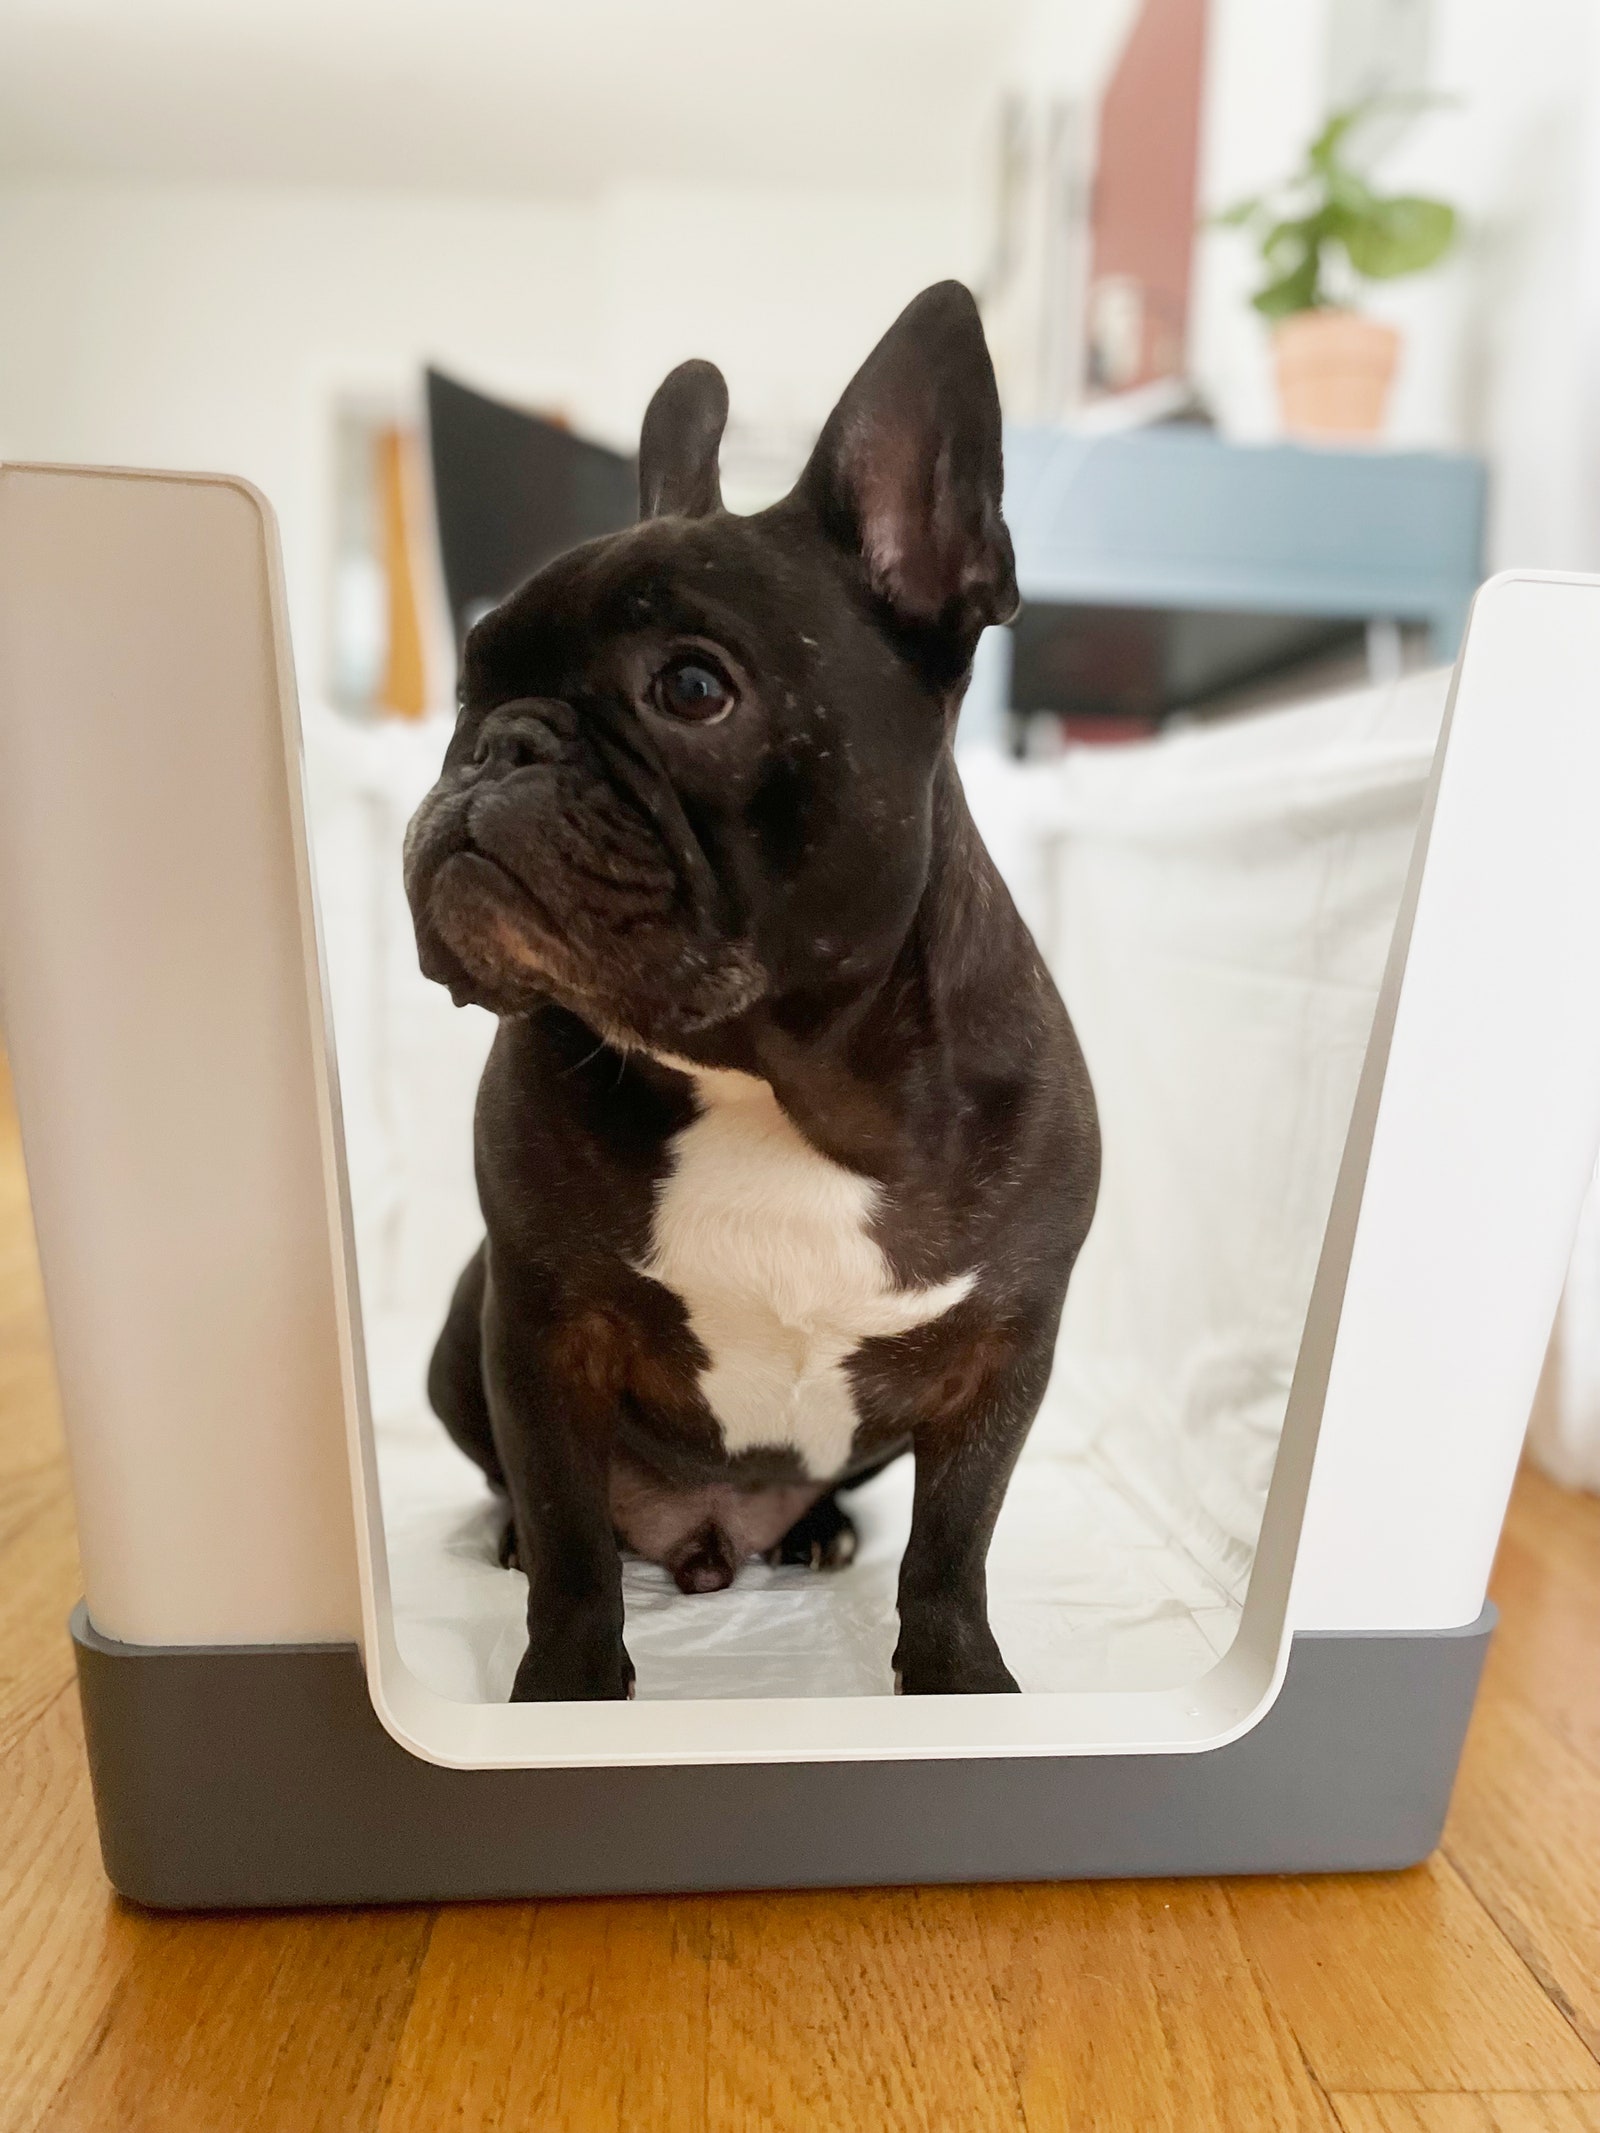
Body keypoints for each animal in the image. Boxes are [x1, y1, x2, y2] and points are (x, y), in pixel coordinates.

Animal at [403, 283, 1100, 1706]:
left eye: (689, 687)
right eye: (465, 686)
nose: (499, 744)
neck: (773, 1079)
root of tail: (709, 1537)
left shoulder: (1004, 1351)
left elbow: (954, 1542)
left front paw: (959, 1689)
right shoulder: (537, 1326)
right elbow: (570, 1537)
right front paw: (565, 1698)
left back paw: (817, 1528)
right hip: (461, 1328)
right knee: (526, 1493)